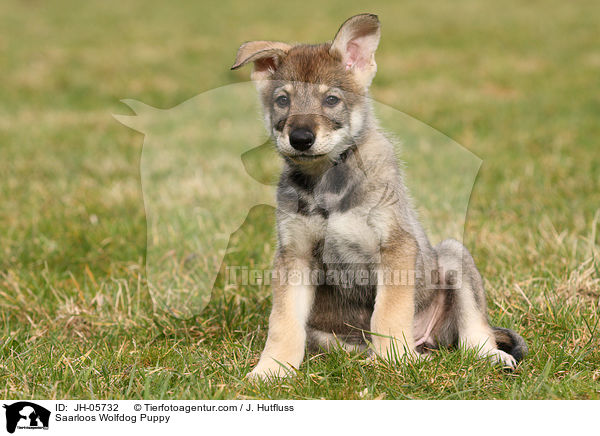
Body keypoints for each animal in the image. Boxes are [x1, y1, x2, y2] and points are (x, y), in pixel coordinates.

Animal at [232, 13, 528, 378]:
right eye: (282, 100)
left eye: (331, 99)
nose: (300, 138)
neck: (328, 183)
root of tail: (427, 340)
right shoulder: (294, 256)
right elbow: (283, 322)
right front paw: (271, 370)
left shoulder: (395, 248)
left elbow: (387, 313)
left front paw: (395, 362)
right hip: (328, 335)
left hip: (453, 256)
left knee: (475, 331)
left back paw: (483, 356)